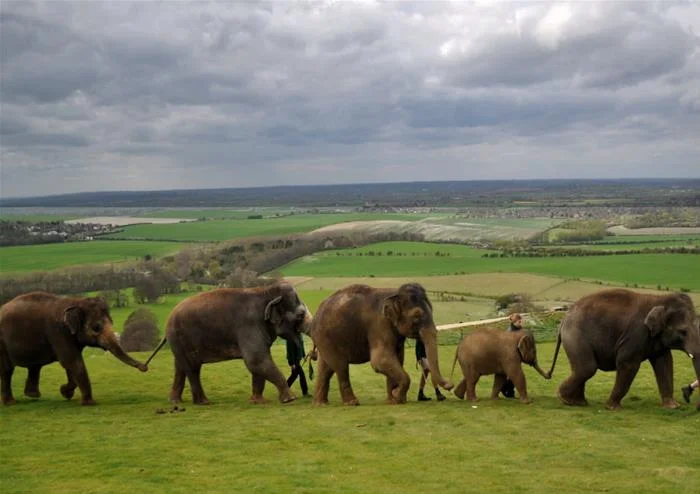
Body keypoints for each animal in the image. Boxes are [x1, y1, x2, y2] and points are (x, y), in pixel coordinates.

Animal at [0, 294, 148, 406]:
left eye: (111, 321)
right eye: (96, 327)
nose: (144, 367)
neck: (75, 301)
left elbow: (71, 364)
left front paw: (66, 392)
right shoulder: (58, 332)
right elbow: (72, 361)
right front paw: (88, 403)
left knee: (35, 366)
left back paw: (32, 395)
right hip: (2, 343)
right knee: (8, 370)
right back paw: (11, 403)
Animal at [145, 282, 312, 406]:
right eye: (300, 315)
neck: (266, 291)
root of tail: (168, 320)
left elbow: (257, 363)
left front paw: (258, 401)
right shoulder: (249, 326)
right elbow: (256, 360)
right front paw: (290, 399)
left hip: (179, 343)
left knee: (180, 367)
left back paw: (175, 401)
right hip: (181, 338)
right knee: (192, 368)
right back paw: (204, 402)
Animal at [308, 282, 452, 406]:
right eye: (416, 317)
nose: (450, 384)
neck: (395, 293)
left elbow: (398, 359)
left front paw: (393, 400)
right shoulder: (379, 326)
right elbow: (380, 360)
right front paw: (397, 395)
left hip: (324, 340)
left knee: (325, 368)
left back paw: (320, 404)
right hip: (327, 338)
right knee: (340, 367)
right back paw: (352, 403)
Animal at [548, 288, 700, 412]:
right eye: (683, 332)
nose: (696, 407)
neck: (659, 299)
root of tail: (563, 320)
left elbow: (665, 363)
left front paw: (672, 407)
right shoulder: (636, 334)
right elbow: (628, 364)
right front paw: (612, 408)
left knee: (581, 369)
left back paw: (578, 402)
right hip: (575, 337)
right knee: (587, 368)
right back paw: (565, 399)